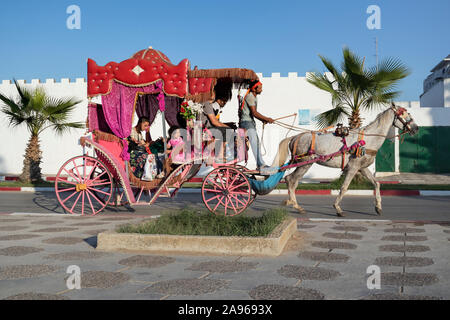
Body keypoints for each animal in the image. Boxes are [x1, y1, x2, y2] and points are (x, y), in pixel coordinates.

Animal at [270, 105, 418, 218]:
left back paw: (293, 204)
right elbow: (344, 187)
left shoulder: (362, 168)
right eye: (404, 114)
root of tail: (295, 137)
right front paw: (338, 208)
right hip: (305, 163)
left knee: (291, 180)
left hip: (304, 164)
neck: (367, 140)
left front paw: (378, 207)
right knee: (291, 180)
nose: (416, 128)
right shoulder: (353, 167)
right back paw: (295, 205)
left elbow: (376, 184)